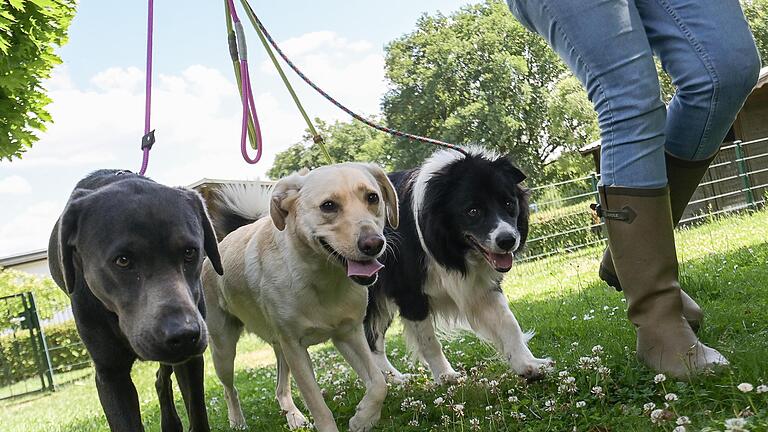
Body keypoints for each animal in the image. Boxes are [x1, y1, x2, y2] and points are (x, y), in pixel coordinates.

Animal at [48, 170, 224, 432]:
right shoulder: (110, 373)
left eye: (190, 252)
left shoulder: (191, 357)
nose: (184, 334)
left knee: (162, 378)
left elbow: (198, 411)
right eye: (122, 260)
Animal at [201, 163, 400, 432]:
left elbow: (379, 383)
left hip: (280, 347)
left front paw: (363, 418)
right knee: (229, 389)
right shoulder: (296, 348)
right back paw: (237, 421)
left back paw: (293, 416)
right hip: (224, 350)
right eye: (328, 205)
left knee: (280, 388)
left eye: (372, 197)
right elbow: (318, 404)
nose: (374, 244)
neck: (322, 277)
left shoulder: (348, 334)